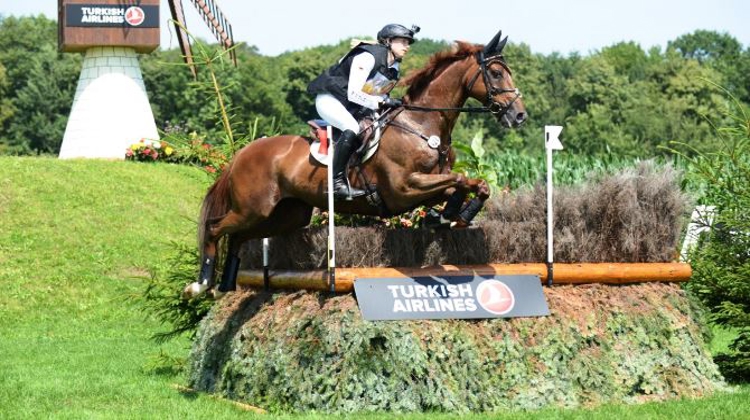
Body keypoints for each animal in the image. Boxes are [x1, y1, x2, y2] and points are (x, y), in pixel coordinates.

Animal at [185, 30, 528, 298]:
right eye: (496, 73)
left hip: (284, 215)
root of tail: (242, 153)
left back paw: (225, 284)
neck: (421, 125)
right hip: (253, 208)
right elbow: (460, 180)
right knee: (215, 228)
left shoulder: (425, 187)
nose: (519, 115)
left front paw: (448, 216)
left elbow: (473, 184)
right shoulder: (404, 189)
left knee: (238, 236)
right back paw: (201, 284)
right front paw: (450, 216)